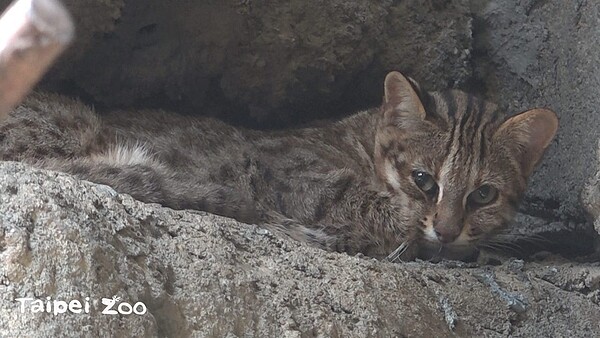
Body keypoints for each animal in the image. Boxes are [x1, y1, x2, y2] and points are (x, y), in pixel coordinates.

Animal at [0, 72, 556, 262]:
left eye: (483, 194)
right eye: (423, 180)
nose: (446, 230)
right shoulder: (291, 172)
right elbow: (378, 210)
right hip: (69, 130)